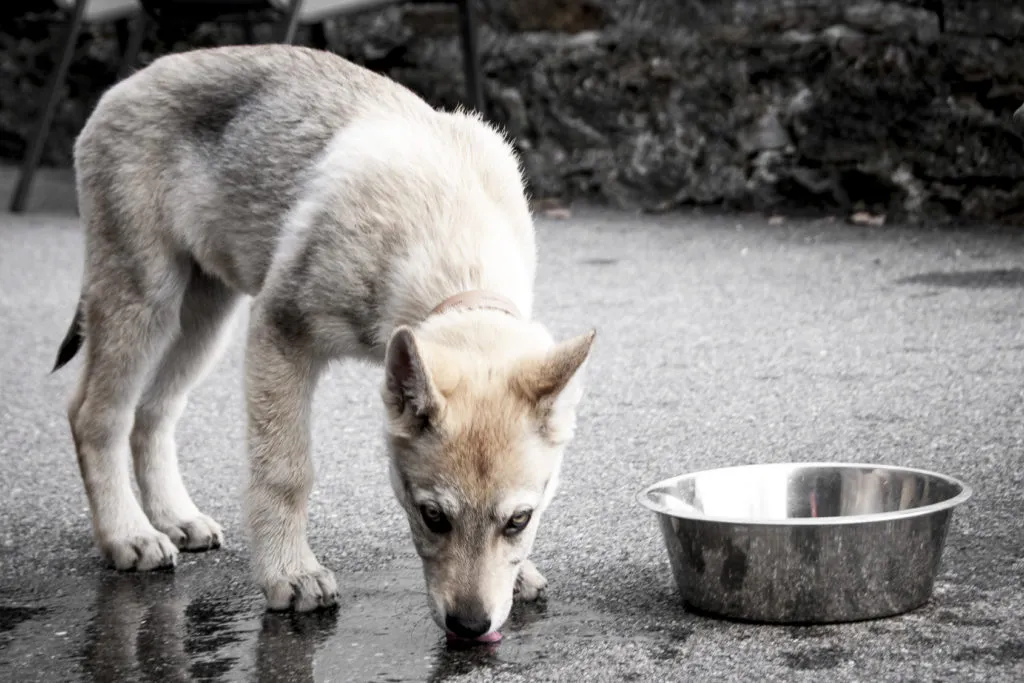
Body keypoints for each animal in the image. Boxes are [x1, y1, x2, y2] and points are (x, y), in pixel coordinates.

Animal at [54, 44, 598, 643]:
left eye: (519, 520)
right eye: (432, 516)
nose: (471, 627)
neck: (448, 233)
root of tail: (126, 83)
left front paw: (519, 576)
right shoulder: (280, 332)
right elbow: (285, 471)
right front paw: (289, 574)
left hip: (203, 318)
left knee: (153, 412)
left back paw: (175, 518)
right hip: (145, 301)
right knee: (95, 414)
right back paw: (127, 534)